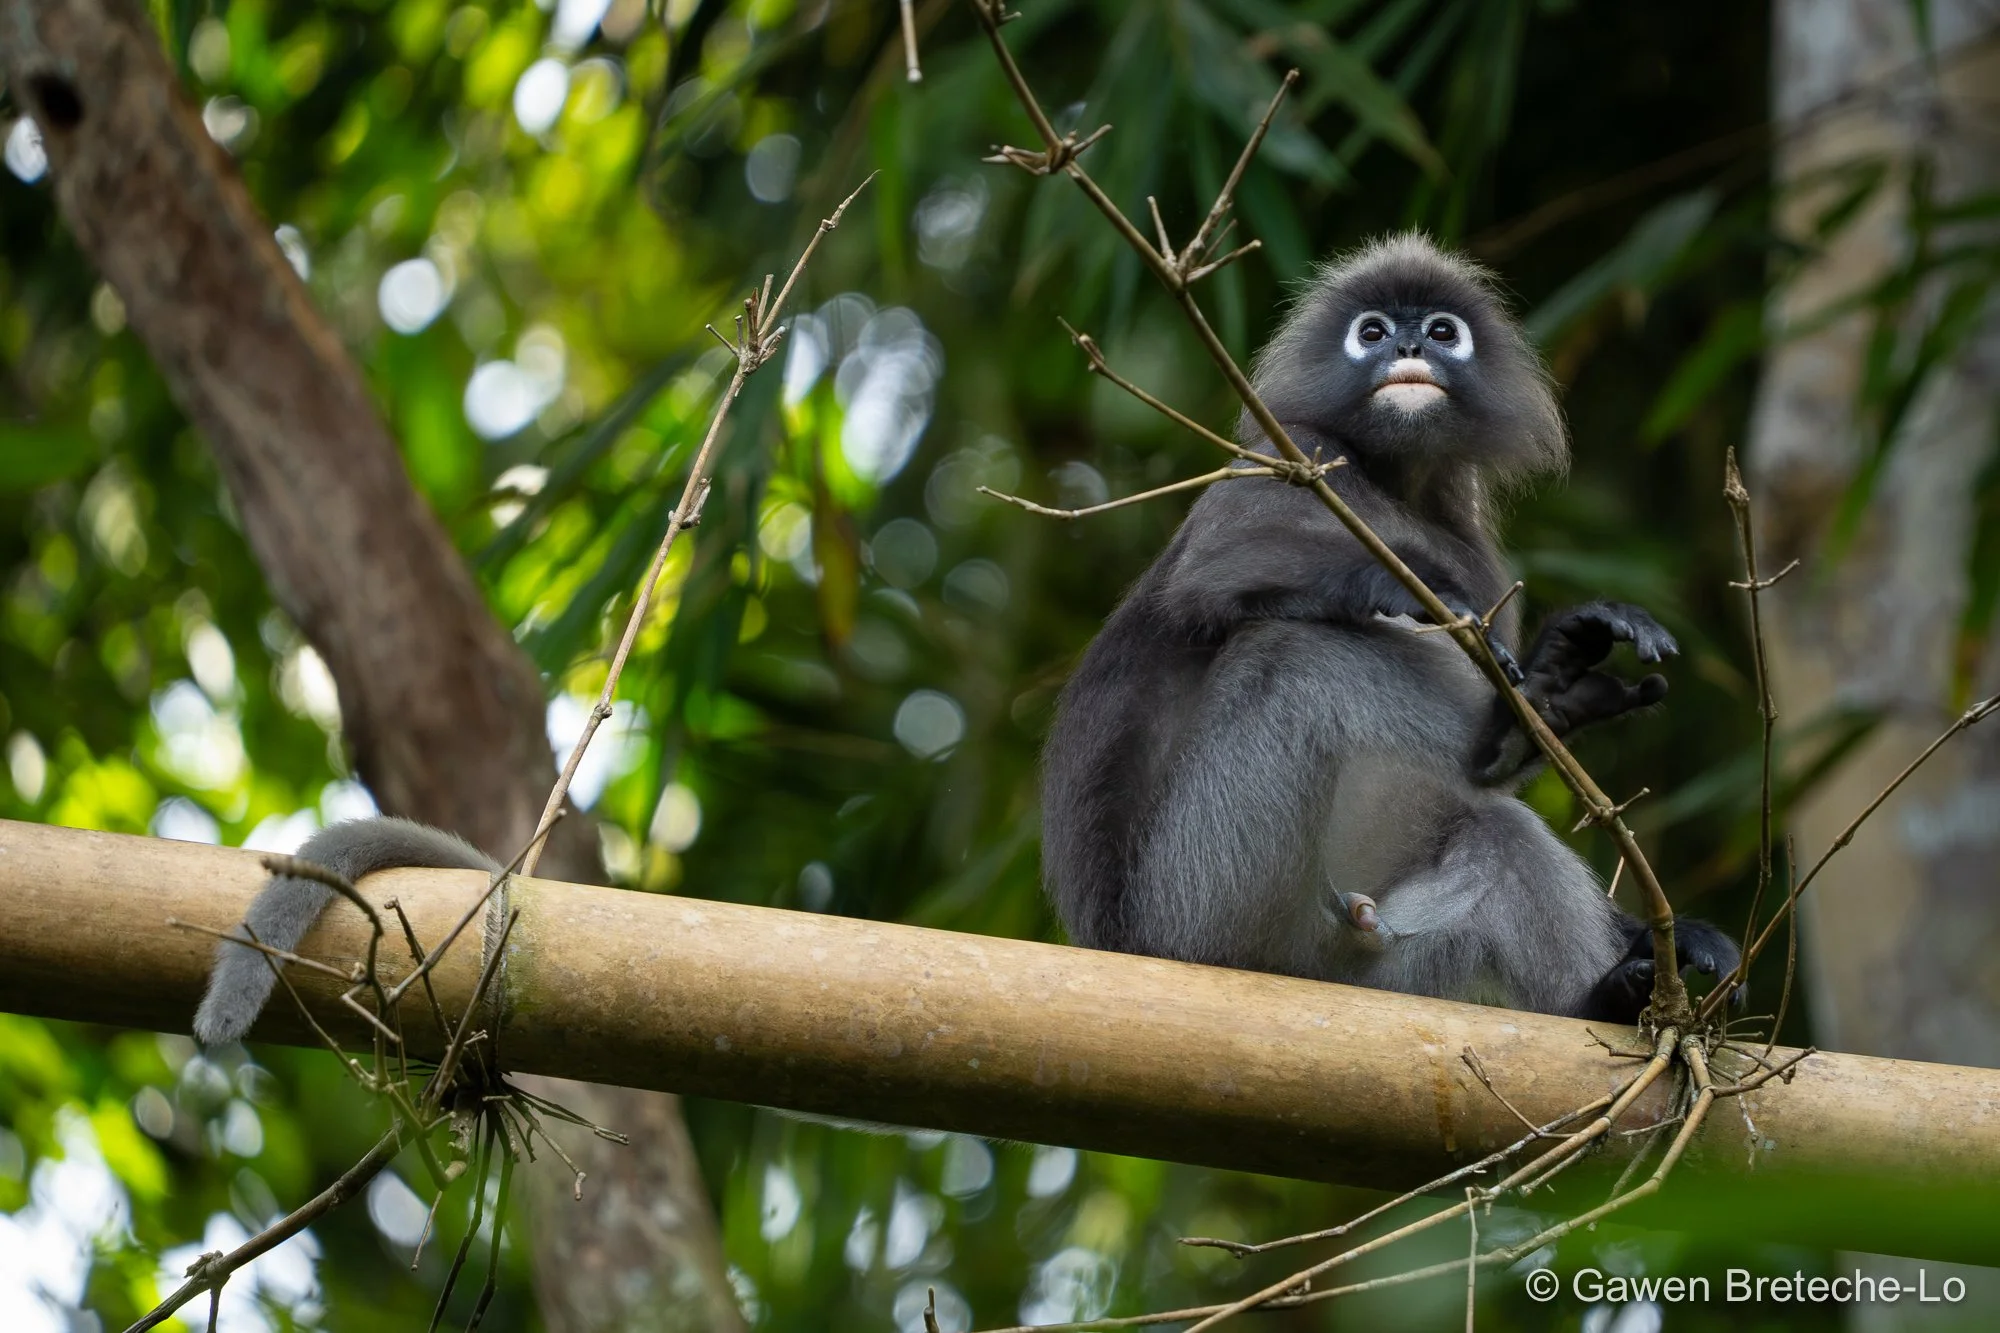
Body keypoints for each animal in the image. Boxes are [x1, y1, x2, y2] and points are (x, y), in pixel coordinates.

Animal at [1038, 233, 1739, 1023]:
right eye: (1371, 332)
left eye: (1441, 331)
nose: (1407, 344)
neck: (1392, 479)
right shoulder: (1295, 455)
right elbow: (1217, 567)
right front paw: (1413, 586)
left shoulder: (1473, 539)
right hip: (1198, 904)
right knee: (1298, 652)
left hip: (1370, 959)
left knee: (1494, 834)